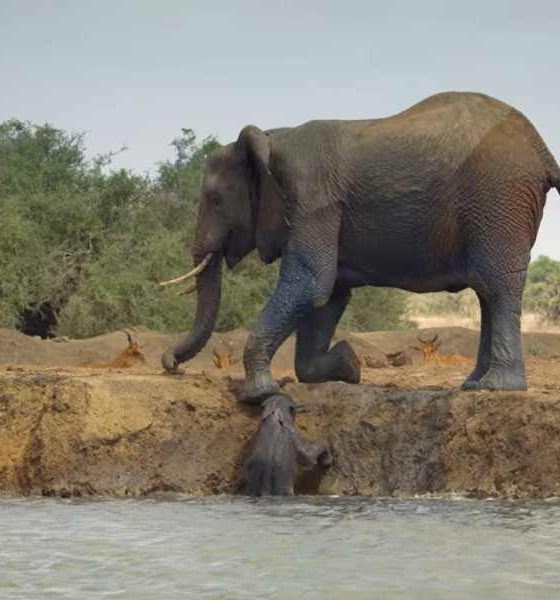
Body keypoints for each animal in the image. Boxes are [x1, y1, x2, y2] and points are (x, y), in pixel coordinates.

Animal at [161, 92, 560, 404]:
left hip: (499, 199)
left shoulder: (313, 201)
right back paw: (474, 385)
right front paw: (349, 365)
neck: (271, 139)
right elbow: (329, 297)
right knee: (485, 290)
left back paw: (497, 387)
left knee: (496, 287)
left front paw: (260, 394)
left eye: (215, 200)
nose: (170, 366)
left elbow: (311, 285)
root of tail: (543, 151)